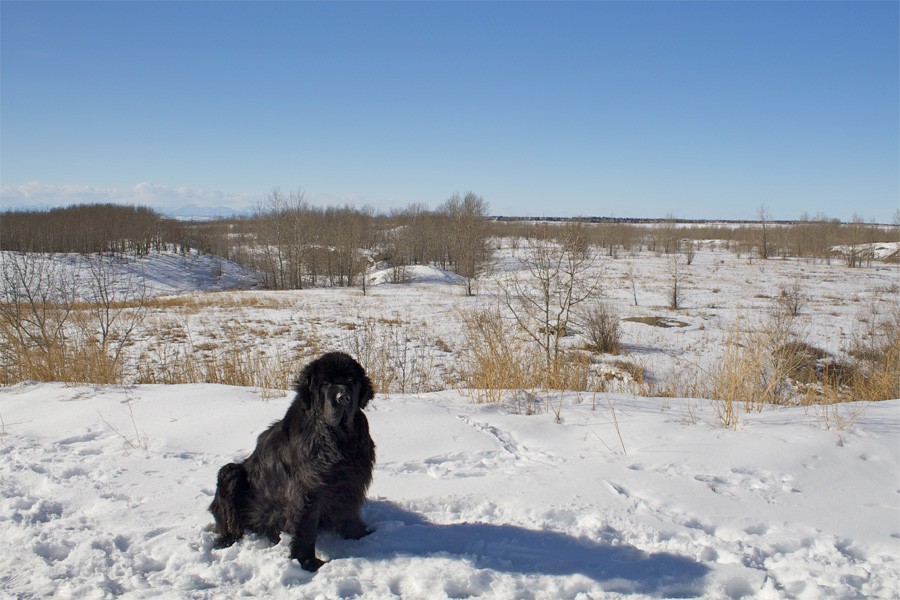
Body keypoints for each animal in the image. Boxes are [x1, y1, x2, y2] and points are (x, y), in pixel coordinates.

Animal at [211, 352, 376, 572]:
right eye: (325, 383)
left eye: (350, 380)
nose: (343, 398)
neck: (338, 439)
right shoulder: (308, 488)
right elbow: (306, 526)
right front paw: (307, 562)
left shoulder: (353, 481)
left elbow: (349, 512)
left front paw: (359, 536)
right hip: (230, 473)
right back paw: (227, 540)